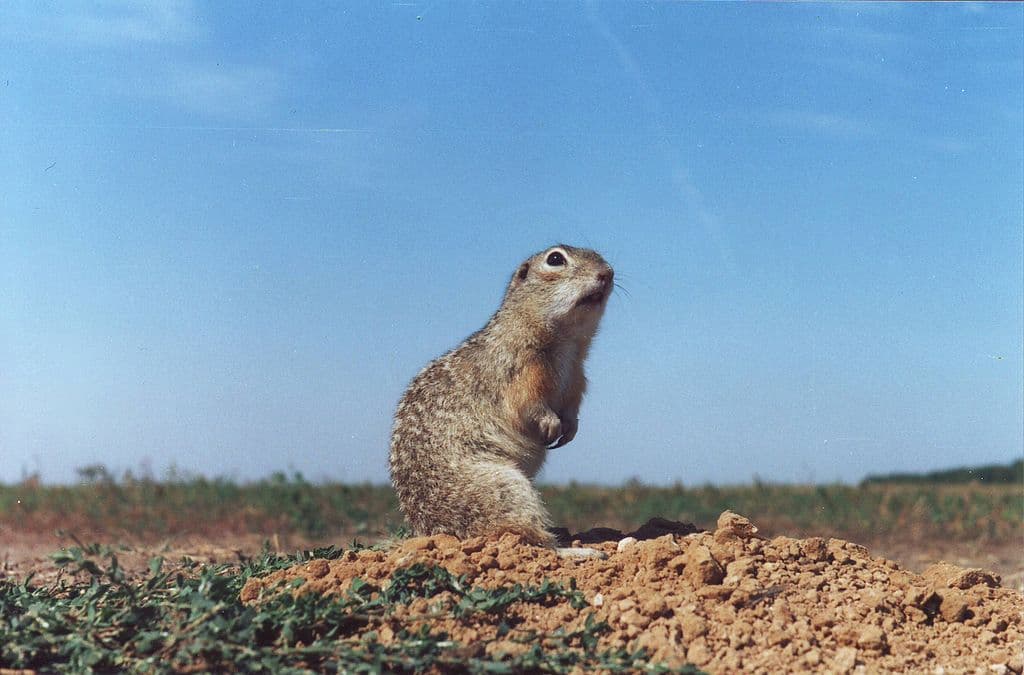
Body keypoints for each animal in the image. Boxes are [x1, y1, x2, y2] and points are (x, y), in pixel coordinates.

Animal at [387, 245, 610, 544]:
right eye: (555, 259)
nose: (608, 272)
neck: (567, 345)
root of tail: (433, 530)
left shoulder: (577, 378)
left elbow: (572, 407)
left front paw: (570, 429)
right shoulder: (521, 373)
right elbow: (528, 404)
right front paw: (551, 424)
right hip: (505, 486)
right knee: (525, 534)